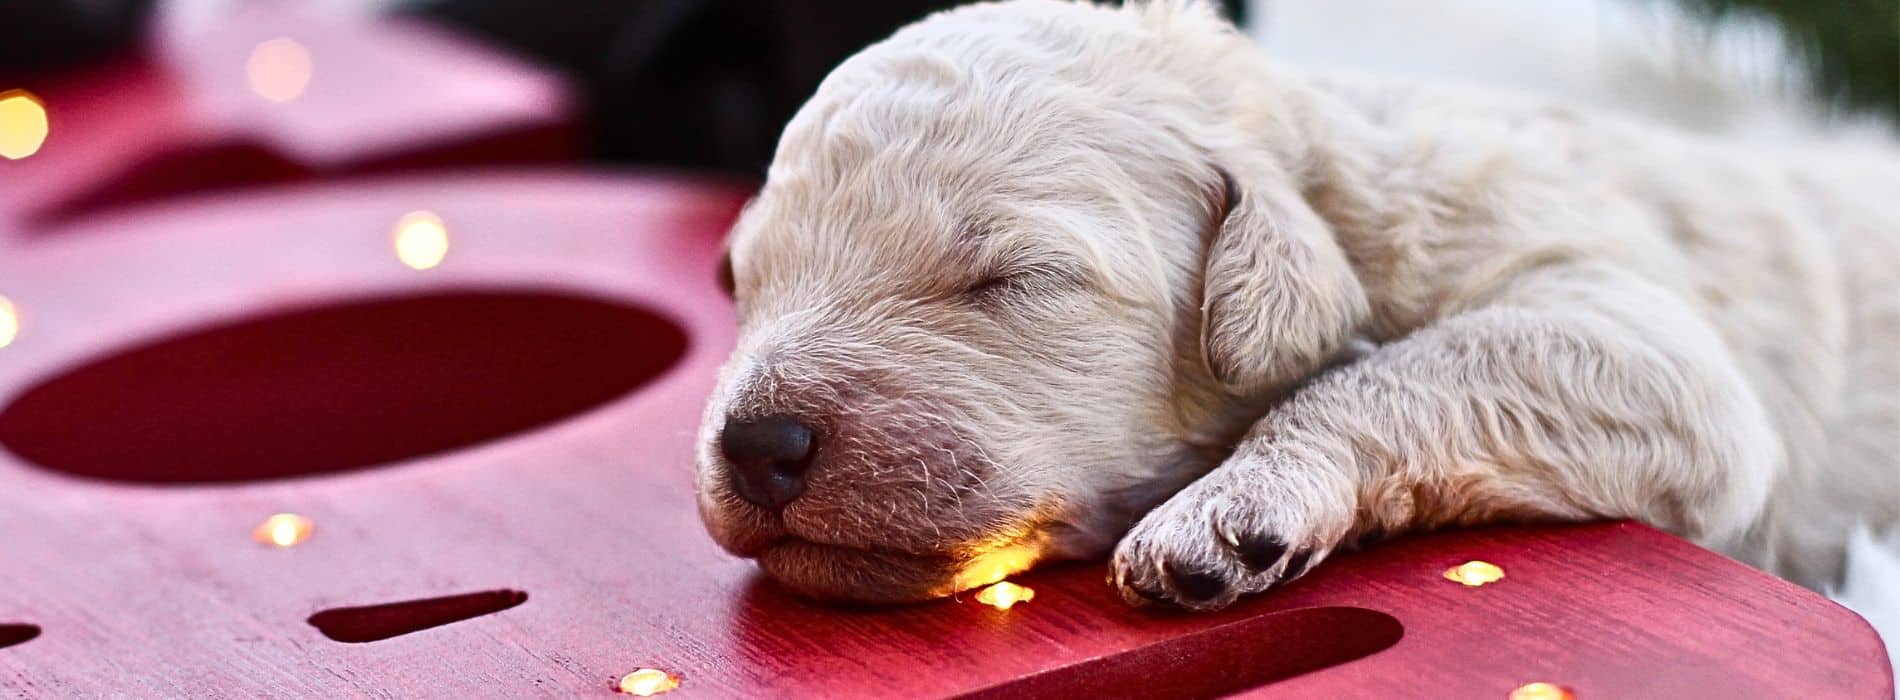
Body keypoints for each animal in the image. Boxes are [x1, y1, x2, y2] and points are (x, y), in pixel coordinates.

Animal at [695, 0, 1900, 608]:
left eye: (1011, 280)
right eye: (749, 283)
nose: (757, 443)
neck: (1329, 185)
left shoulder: (1626, 326)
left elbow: (1422, 363)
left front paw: (1229, 509)